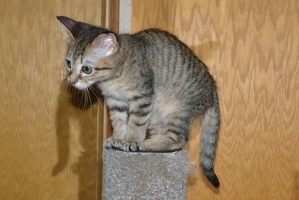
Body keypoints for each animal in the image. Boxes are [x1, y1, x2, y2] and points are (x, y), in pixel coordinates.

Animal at [58, 16, 220, 187]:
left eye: (86, 69)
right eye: (68, 63)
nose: (71, 81)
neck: (114, 77)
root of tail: (212, 88)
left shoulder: (142, 97)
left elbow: (135, 123)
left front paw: (132, 140)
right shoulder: (115, 100)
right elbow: (118, 121)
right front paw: (118, 138)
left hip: (175, 110)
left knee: (178, 139)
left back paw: (148, 144)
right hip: (156, 114)